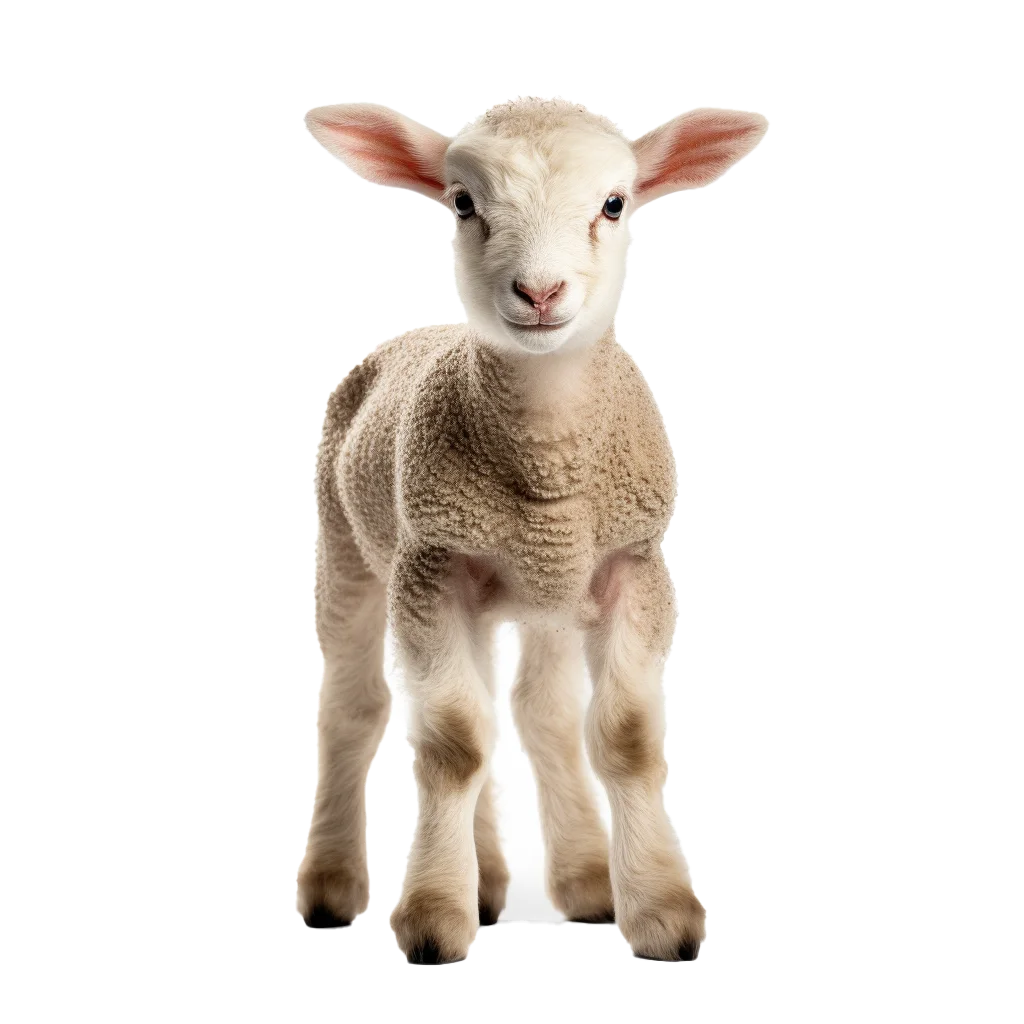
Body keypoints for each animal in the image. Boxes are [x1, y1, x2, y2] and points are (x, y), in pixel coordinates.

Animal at [302, 97, 768, 963]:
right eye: (463, 203)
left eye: (615, 204)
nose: (540, 291)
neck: (548, 460)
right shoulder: (432, 569)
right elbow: (452, 743)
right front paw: (433, 915)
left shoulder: (632, 566)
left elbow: (624, 735)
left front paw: (660, 912)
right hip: (345, 545)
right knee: (356, 708)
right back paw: (335, 885)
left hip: (542, 595)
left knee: (531, 709)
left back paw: (559, 879)